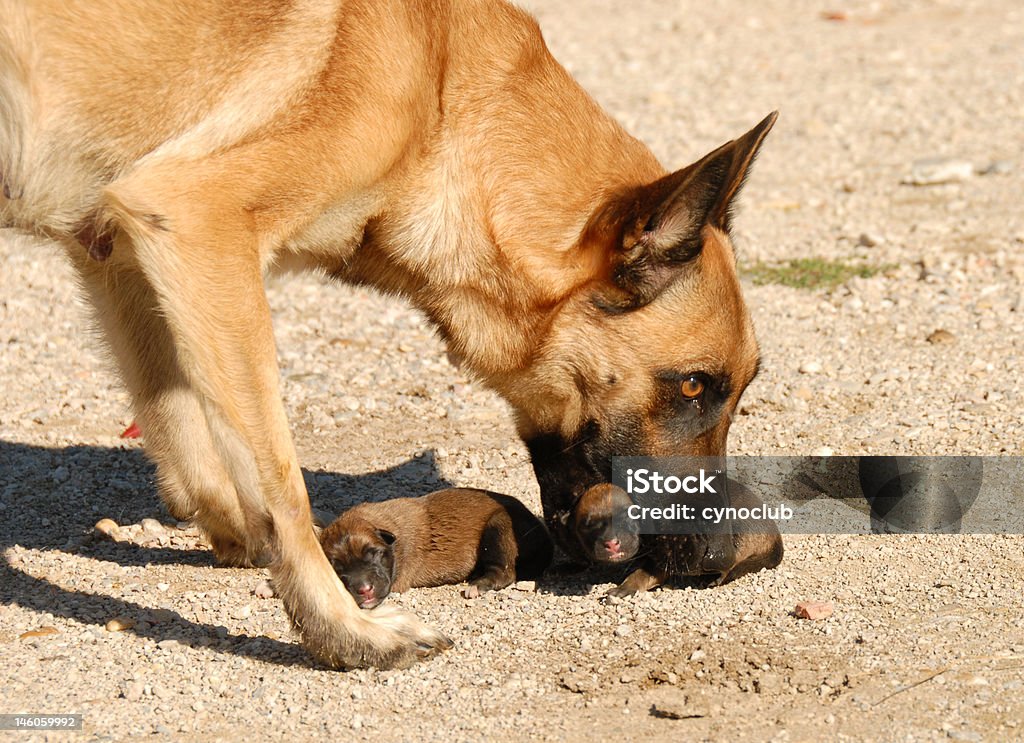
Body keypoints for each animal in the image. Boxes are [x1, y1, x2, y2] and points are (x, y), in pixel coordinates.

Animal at [323, 489, 557, 609]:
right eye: (337, 567)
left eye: (375, 554)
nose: (364, 589)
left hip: (499, 526)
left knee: (504, 572)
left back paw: (476, 585)